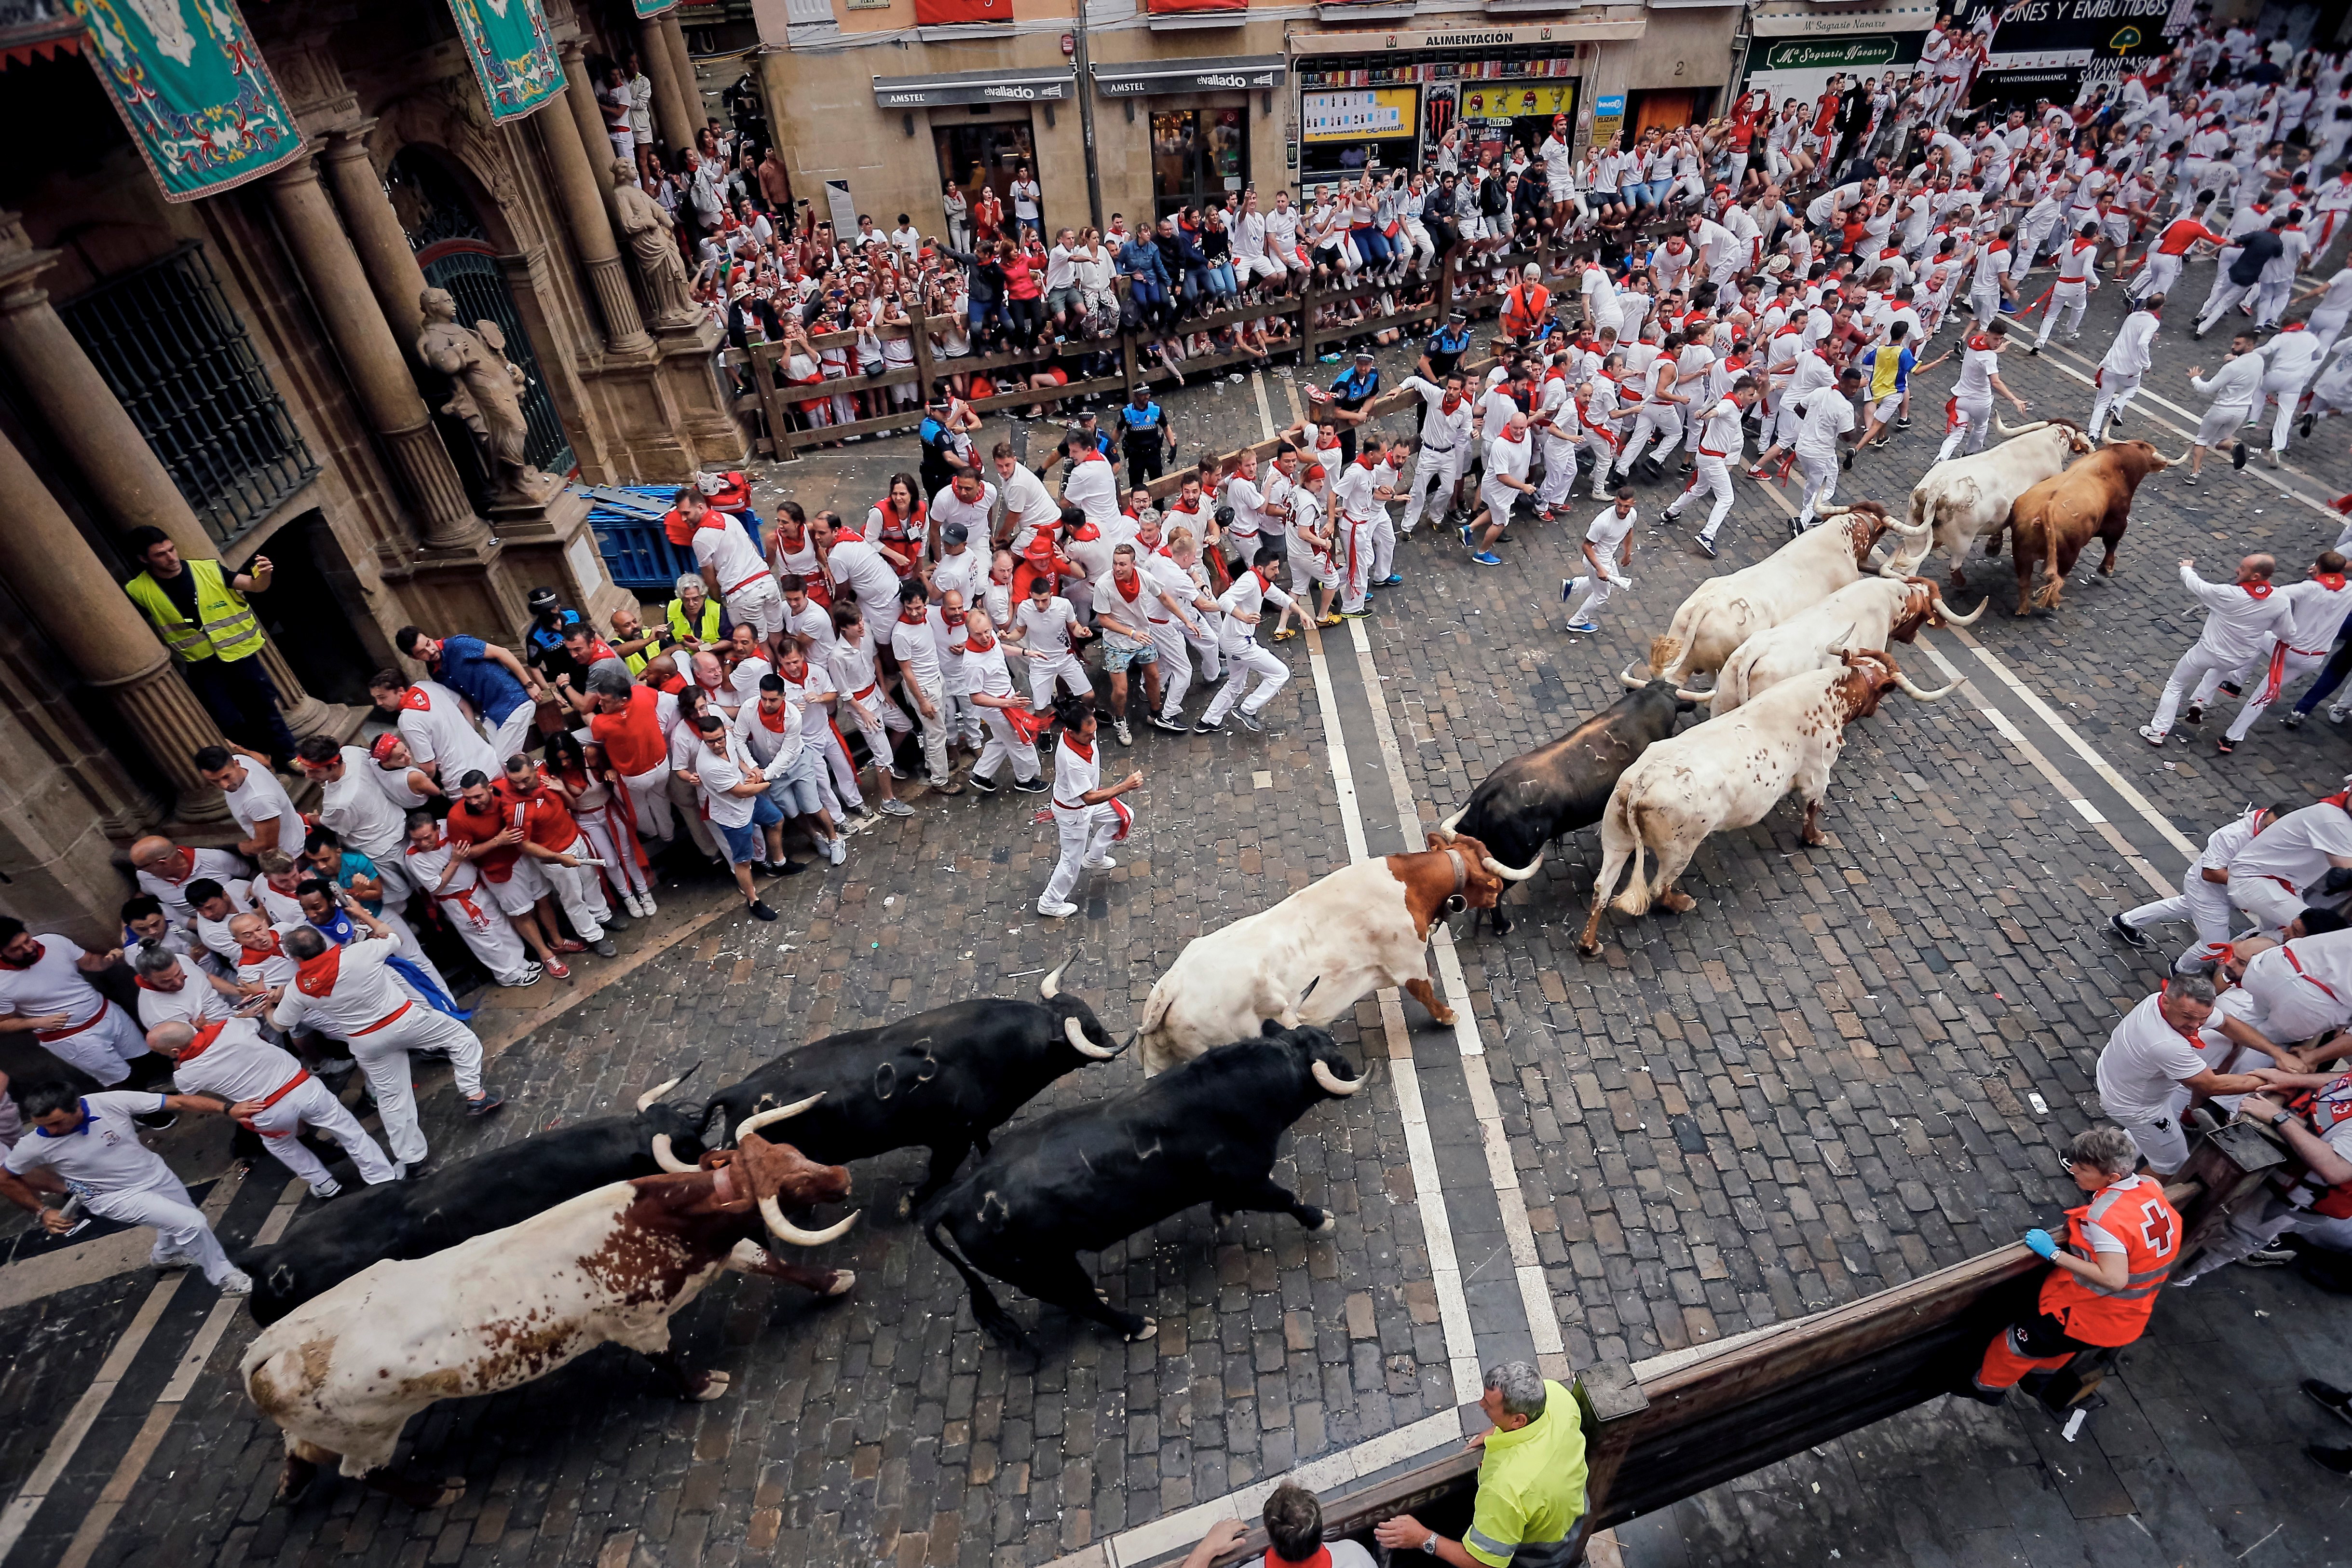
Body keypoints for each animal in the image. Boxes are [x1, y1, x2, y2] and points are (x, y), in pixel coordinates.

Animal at [239, 1109, 860, 1513]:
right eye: (792, 1182)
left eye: (789, 1152)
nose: (841, 1176)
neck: (654, 1219)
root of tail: (267, 1347)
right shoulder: (639, 1322)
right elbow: (669, 1360)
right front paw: (704, 1383)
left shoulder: (723, 1250)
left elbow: (773, 1263)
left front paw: (832, 1280)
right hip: (371, 1434)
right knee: (365, 1472)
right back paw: (438, 1492)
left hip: (324, 1428)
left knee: (300, 1450)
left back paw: (292, 1487)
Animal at [696, 959, 1119, 1213]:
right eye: (1092, 1028)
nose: (1113, 1043)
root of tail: (735, 1093)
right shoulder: (950, 1139)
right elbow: (940, 1173)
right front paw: (910, 1201)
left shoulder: (975, 1126)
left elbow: (984, 1143)